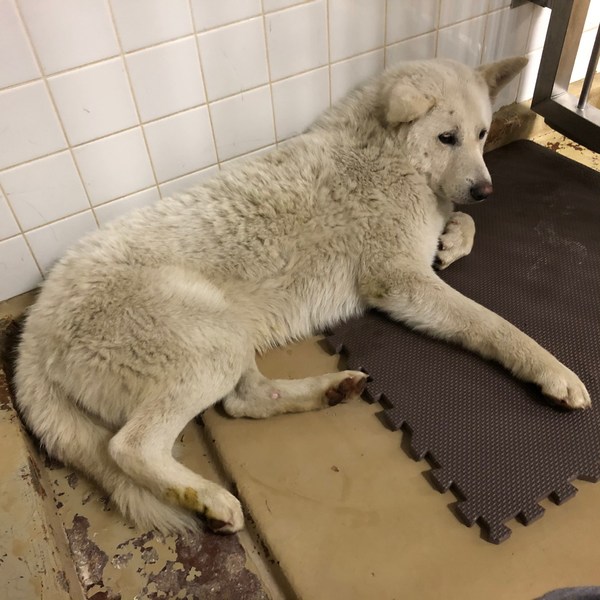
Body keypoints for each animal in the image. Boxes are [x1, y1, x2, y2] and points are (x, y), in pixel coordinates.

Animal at [14, 56, 590, 536]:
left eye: (482, 134)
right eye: (447, 137)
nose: (486, 190)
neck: (390, 157)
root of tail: (31, 339)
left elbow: (464, 226)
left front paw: (453, 239)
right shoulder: (398, 281)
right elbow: (493, 324)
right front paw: (551, 371)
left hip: (227, 337)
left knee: (244, 401)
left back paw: (328, 391)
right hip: (207, 345)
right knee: (130, 447)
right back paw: (209, 498)